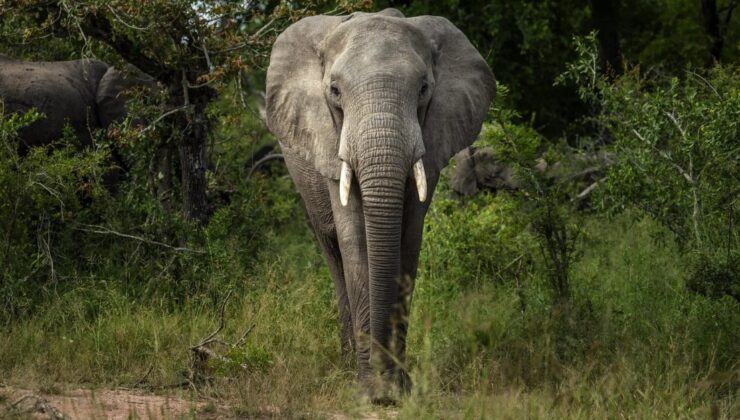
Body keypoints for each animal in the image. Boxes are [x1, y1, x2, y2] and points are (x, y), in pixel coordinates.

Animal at [266, 8, 498, 398]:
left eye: (423, 89)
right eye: (334, 91)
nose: (382, 385)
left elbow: (408, 240)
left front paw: (397, 387)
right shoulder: (329, 141)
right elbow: (355, 241)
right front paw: (370, 389)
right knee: (333, 254)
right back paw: (346, 365)